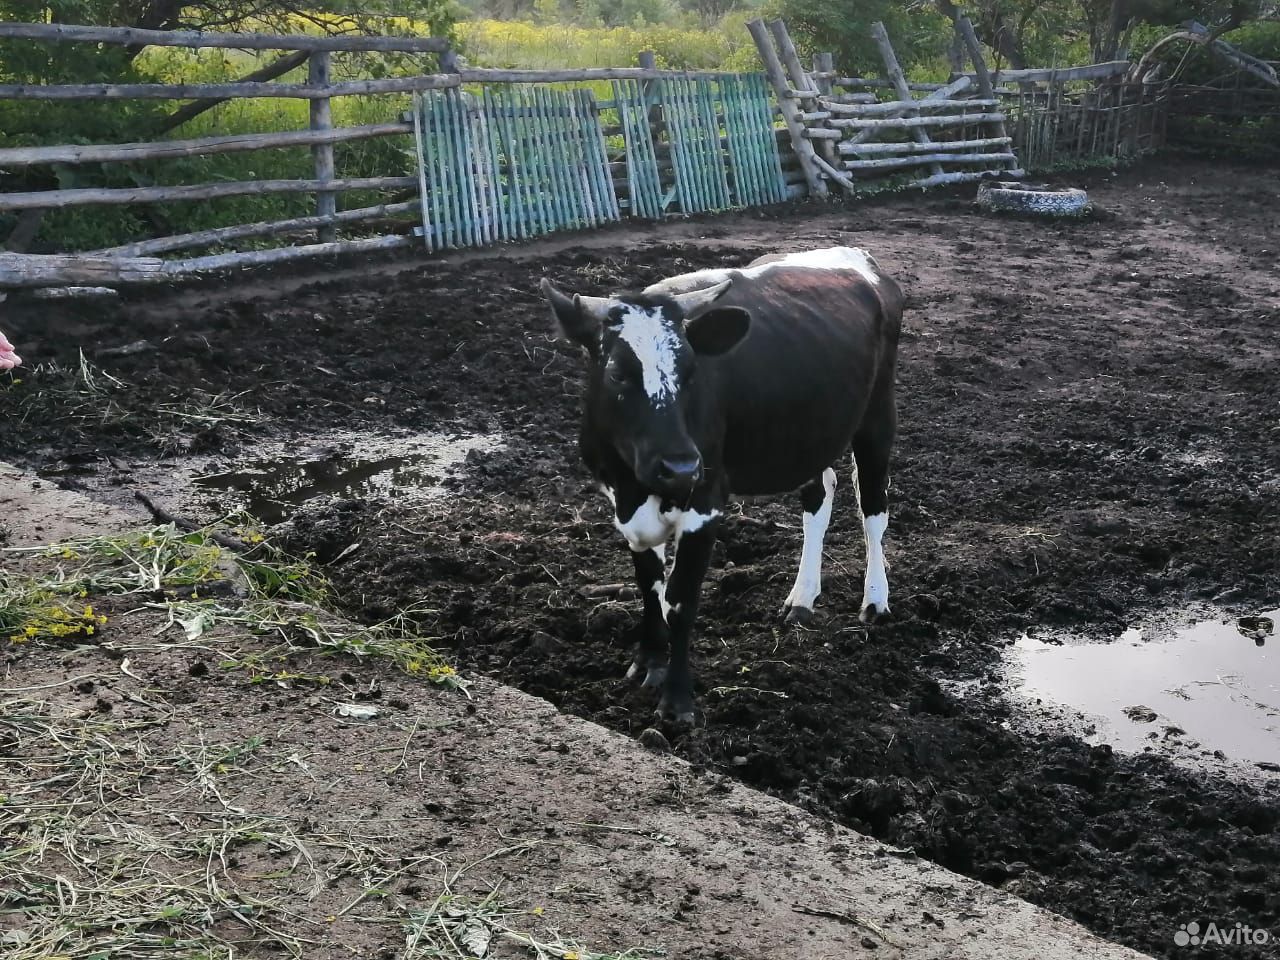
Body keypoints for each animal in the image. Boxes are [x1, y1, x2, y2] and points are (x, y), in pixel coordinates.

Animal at [540, 248, 901, 721]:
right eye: (617, 372)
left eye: (692, 371)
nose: (680, 466)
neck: (633, 486)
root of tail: (858, 257)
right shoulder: (625, 507)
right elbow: (649, 586)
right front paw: (648, 661)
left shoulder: (705, 502)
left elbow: (680, 599)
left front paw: (676, 701)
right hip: (810, 433)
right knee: (820, 496)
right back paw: (802, 598)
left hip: (877, 417)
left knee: (874, 509)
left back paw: (875, 600)